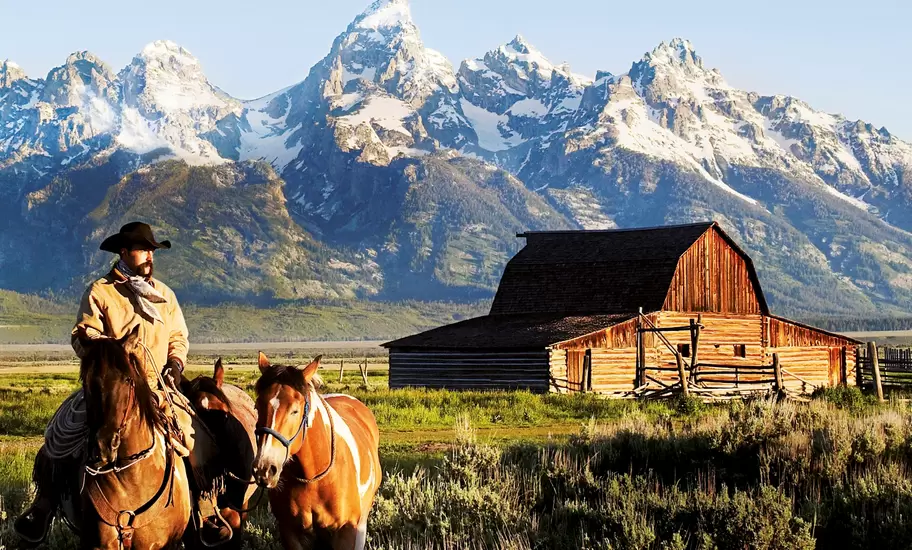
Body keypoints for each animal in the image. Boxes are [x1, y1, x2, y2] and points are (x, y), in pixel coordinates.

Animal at [252, 352, 381, 550]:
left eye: (295, 410)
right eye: (257, 407)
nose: (264, 469)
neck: (314, 478)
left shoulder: (347, 532)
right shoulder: (290, 533)